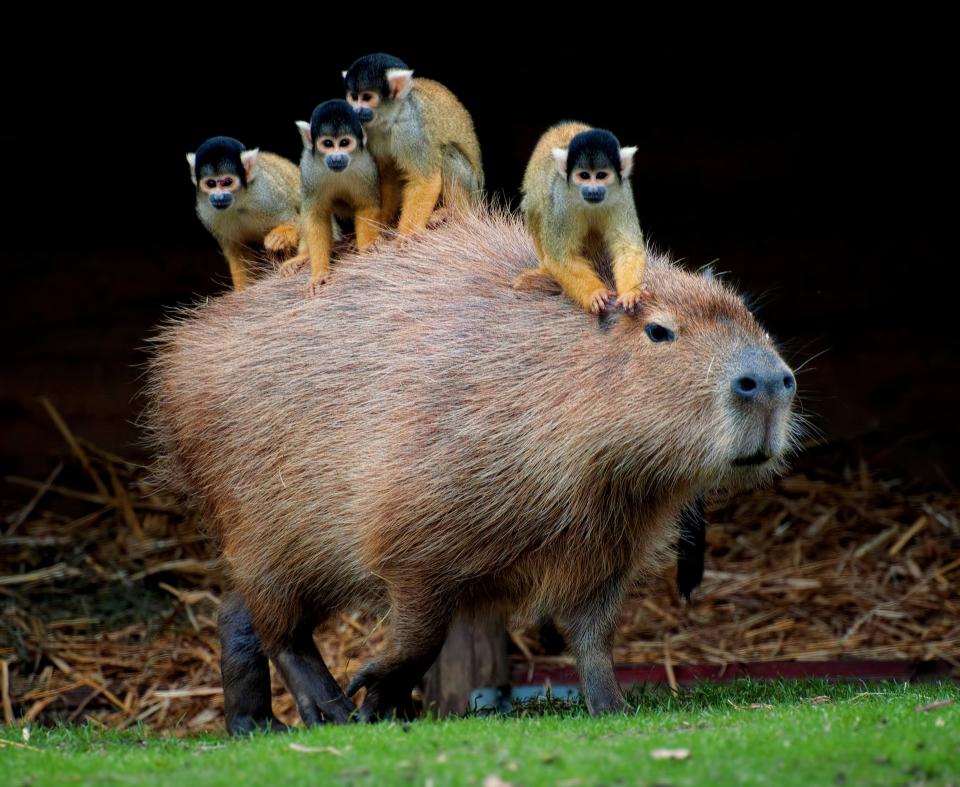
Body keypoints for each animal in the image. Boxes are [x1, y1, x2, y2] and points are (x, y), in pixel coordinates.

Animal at [184, 137, 296, 290]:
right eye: (211, 183)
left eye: (227, 182)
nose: (218, 197)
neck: (238, 203)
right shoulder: (206, 212)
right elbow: (239, 252)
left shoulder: (266, 195)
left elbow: (296, 219)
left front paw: (281, 236)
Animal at [284, 99, 380, 296]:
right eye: (328, 143)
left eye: (344, 142)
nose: (336, 158)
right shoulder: (309, 168)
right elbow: (315, 216)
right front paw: (319, 273)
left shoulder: (366, 166)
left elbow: (366, 205)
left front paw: (367, 246)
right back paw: (304, 256)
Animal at [344, 53, 484, 234]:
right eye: (354, 97)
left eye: (367, 97)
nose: (355, 110)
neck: (391, 117)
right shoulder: (368, 131)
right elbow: (389, 176)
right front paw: (381, 223)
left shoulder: (410, 128)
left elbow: (425, 181)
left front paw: (405, 236)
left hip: (472, 190)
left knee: (447, 153)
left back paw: (455, 213)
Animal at [512, 123, 648, 314]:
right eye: (584, 176)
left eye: (601, 175)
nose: (592, 190)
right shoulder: (561, 200)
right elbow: (561, 256)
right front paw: (595, 293)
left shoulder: (623, 195)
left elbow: (627, 248)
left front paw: (631, 292)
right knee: (535, 207)